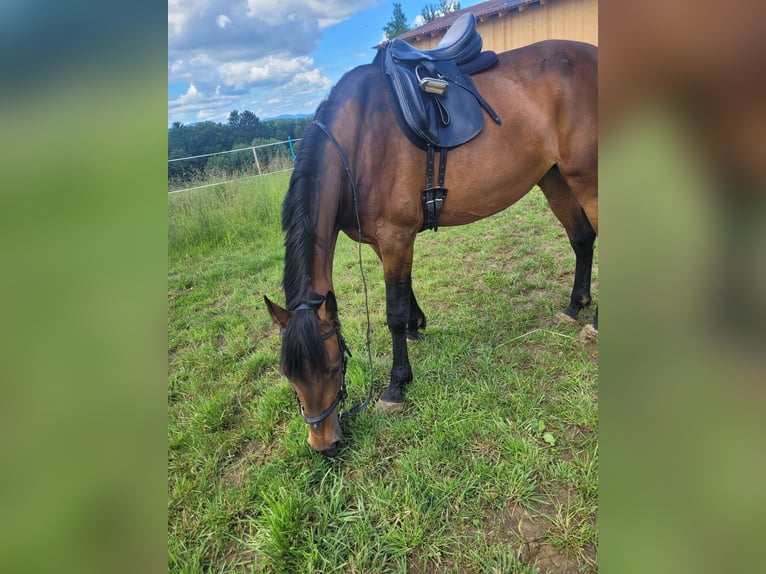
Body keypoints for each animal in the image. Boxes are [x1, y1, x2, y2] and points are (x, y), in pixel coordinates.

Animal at [266, 38, 600, 456]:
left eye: (334, 367)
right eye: (289, 376)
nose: (323, 445)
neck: (357, 142)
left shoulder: (395, 236)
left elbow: (392, 312)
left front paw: (396, 384)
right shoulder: (385, 241)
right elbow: (405, 293)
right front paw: (416, 326)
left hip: (586, 177)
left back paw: (596, 325)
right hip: (554, 177)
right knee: (582, 238)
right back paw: (574, 307)